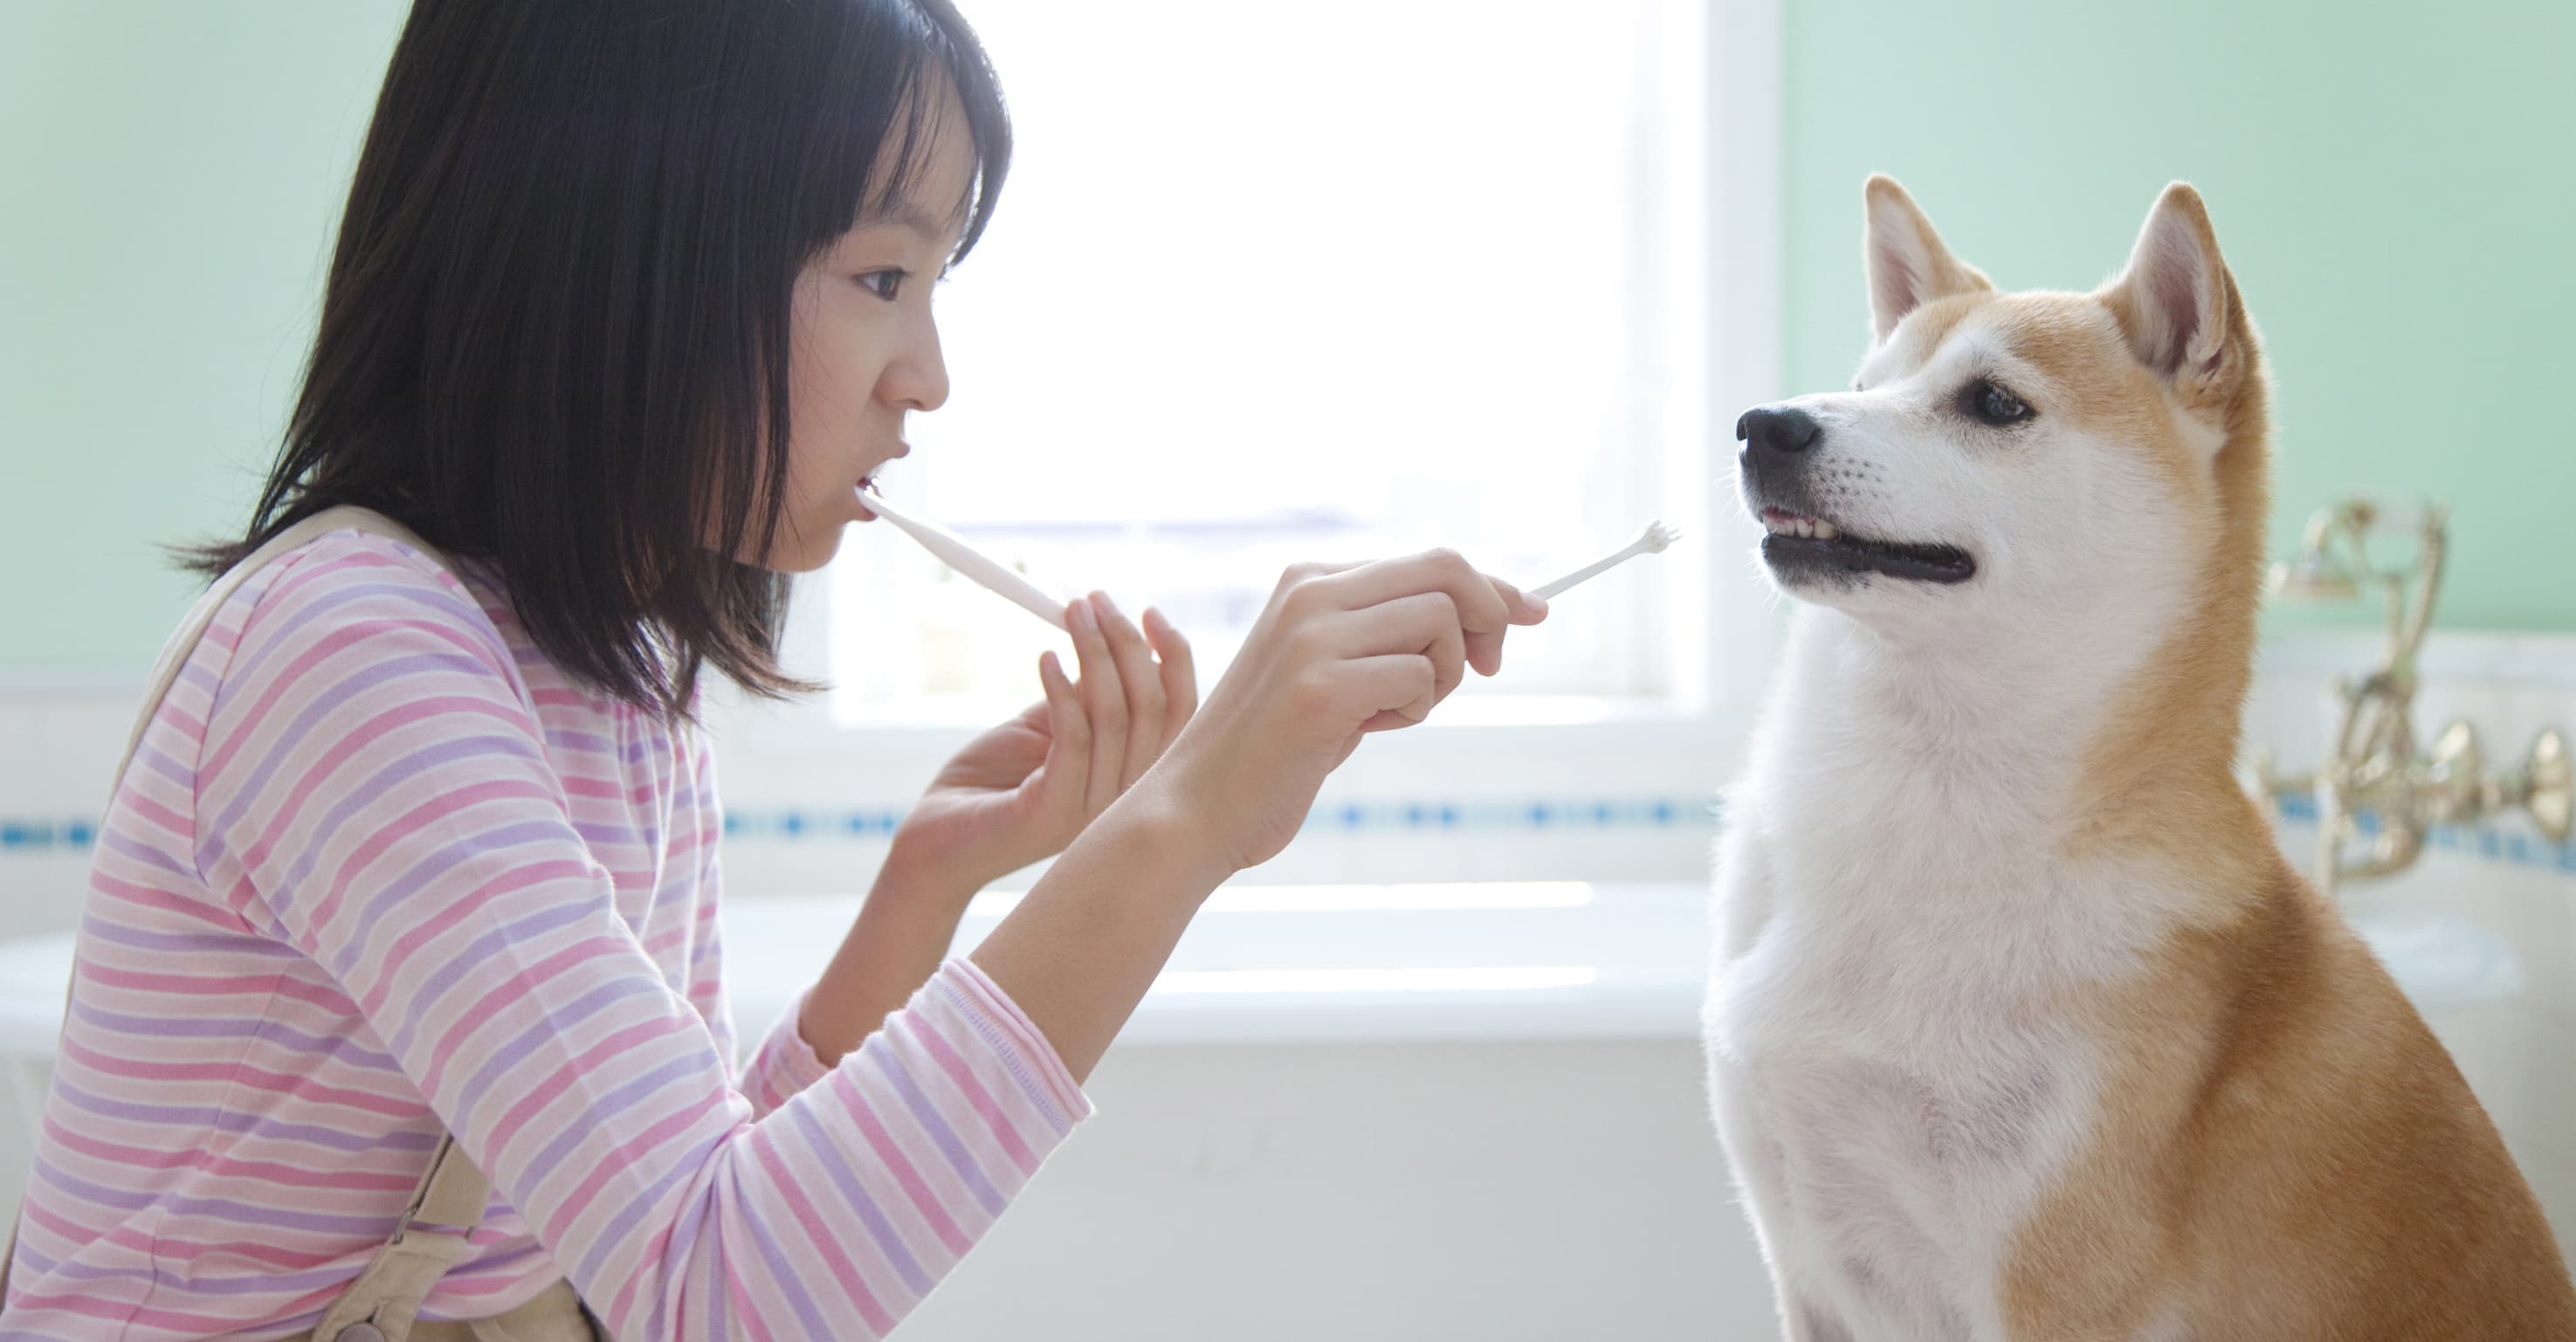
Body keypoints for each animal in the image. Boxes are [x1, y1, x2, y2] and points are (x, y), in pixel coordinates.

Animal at [1700, 177, 2566, 1339]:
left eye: (1993, 404)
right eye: (1867, 385)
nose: (1764, 425)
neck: (1929, 823)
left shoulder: (2054, 1286)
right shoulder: (1808, 1279)